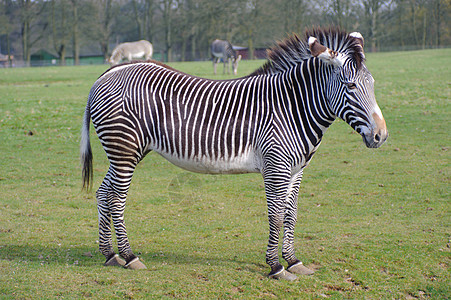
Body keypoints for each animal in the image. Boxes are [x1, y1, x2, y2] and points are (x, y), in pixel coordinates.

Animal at [81, 27, 388, 280]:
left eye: (373, 84)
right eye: (351, 86)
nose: (381, 136)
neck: (292, 107)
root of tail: (107, 74)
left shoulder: (297, 170)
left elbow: (291, 215)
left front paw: (293, 261)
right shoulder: (276, 167)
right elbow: (276, 216)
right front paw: (276, 267)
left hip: (127, 151)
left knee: (104, 192)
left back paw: (110, 254)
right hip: (124, 149)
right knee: (117, 199)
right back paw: (129, 256)